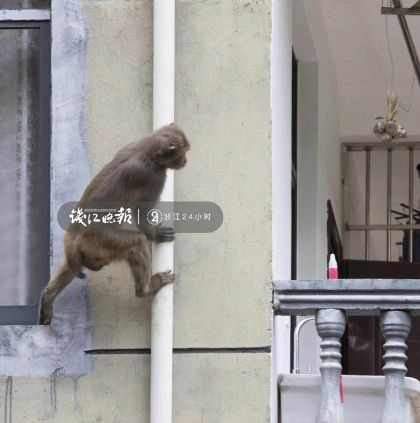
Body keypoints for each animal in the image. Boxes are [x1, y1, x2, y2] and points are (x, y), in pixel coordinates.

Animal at [39, 122, 190, 324]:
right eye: (182, 153)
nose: (185, 161)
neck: (145, 151)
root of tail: (75, 237)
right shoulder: (153, 176)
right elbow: (140, 214)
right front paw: (156, 234)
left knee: (71, 266)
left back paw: (48, 297)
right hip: (100, 243)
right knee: (136, 242)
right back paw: (145, 289)